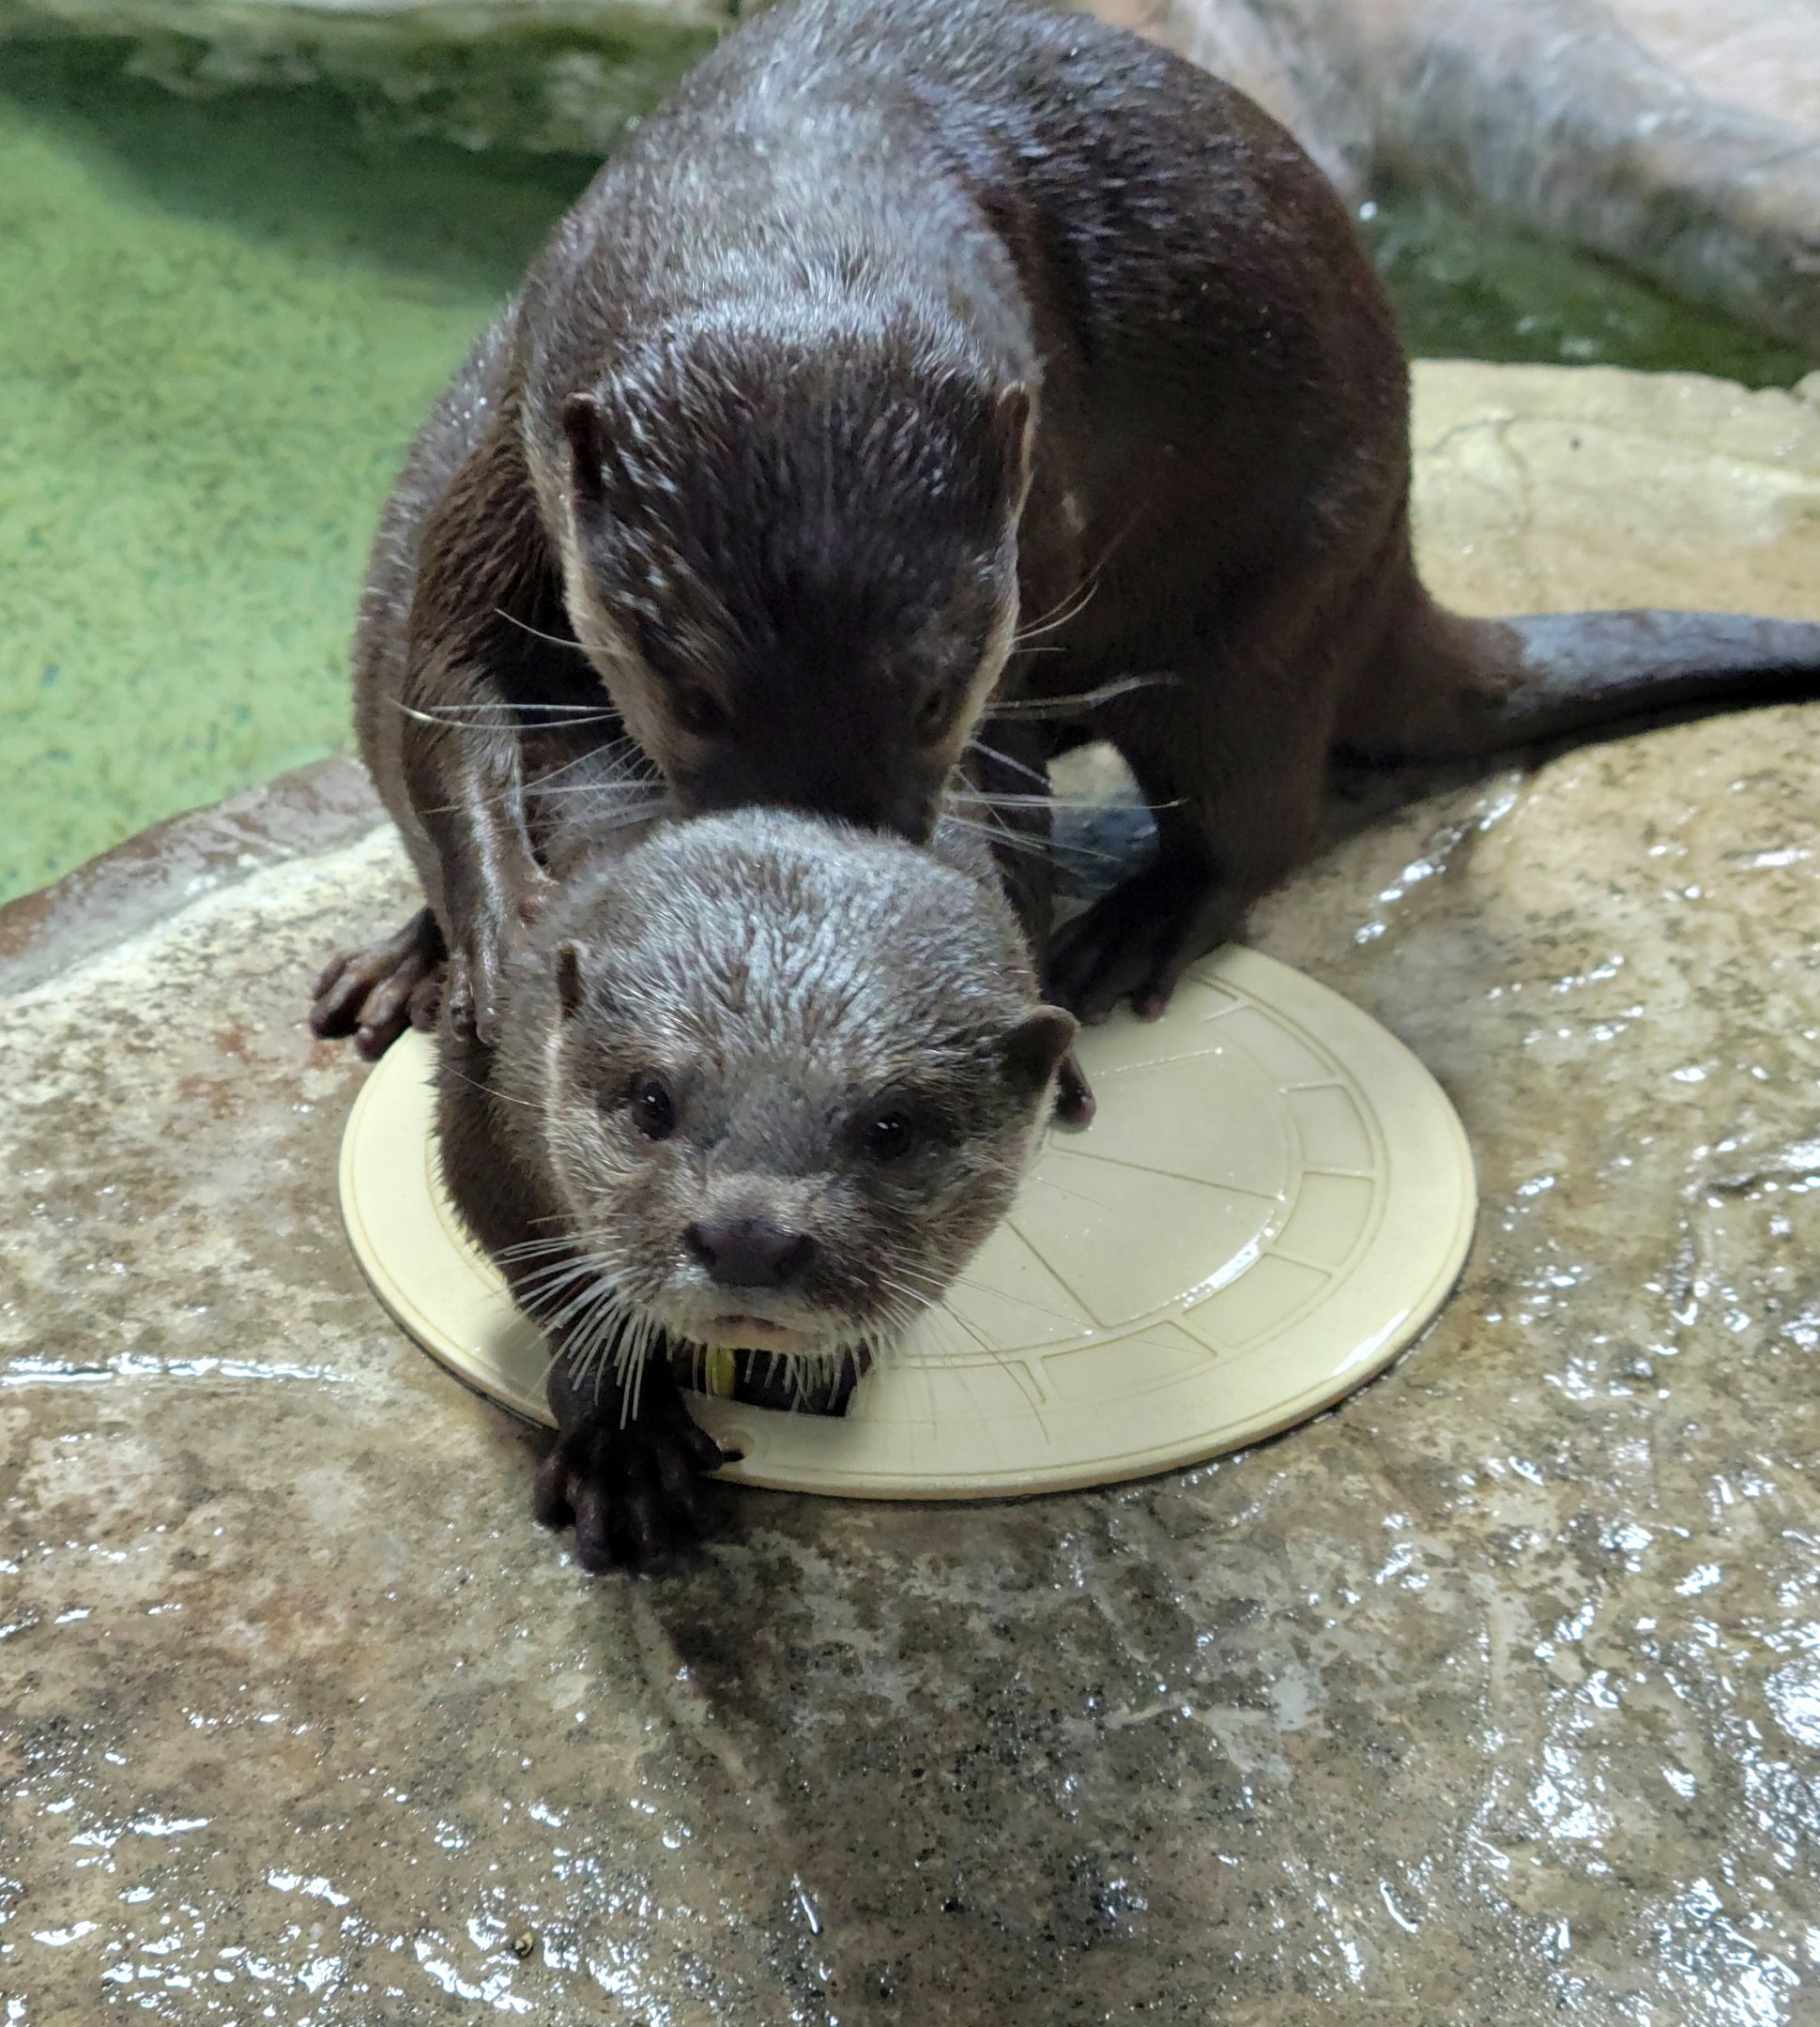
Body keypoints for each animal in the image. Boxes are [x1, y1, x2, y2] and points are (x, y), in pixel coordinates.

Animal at [308, 0, 1820, 1055]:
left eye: (938, 690)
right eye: (684, 691)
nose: (828, 870)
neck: (788, 185)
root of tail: (1397, 554)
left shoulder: (1041, 528)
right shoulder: (517, 424)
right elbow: (441, 681)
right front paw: (493, 935)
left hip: (1274, 604)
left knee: (1261, 816)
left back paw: (1135, 930)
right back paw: (398, 965)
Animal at [437, 804, 1076, 1568]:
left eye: (892, 1129)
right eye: (652, 1101)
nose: (746, 1239)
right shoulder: (481, 1103)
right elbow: (551, 1278)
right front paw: (623, 1450)